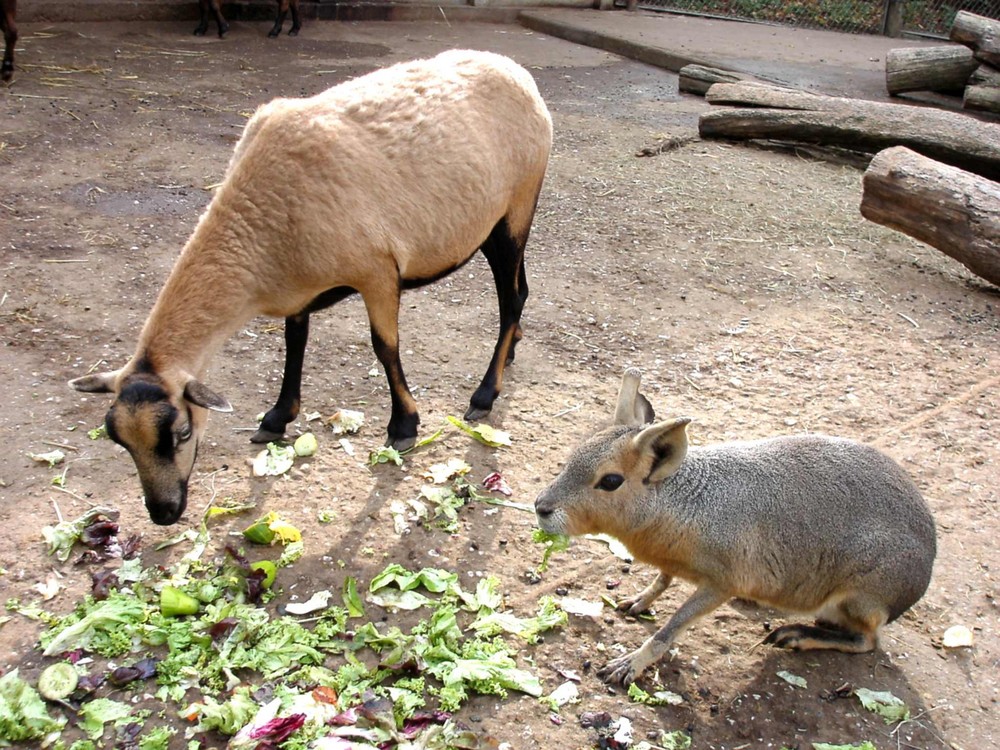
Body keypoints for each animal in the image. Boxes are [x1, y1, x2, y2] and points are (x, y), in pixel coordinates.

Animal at [70, 50, 556, 524]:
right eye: (119, 441)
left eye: (182, 432)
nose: (163, 513)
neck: (257, 228)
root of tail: (518, 70)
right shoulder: (297, 288)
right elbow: (294, 343)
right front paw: (277, 417)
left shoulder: (377, 270)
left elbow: (385, 348)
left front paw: (403, 427)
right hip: (495, 222)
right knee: (521, 289)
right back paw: (511, 351)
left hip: (516, 206)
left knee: (512, 299)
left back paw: (484, 395)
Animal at [540, 370, 936, 688]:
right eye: (573, 456)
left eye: (610, 481)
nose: (541, 507)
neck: (686, 506)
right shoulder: (675, 562)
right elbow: (662, 579)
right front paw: (639, 600)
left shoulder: (721, 582)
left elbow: (669, 630)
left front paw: (629, 665)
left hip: (859, 597)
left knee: (869, 641)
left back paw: (795, 635)